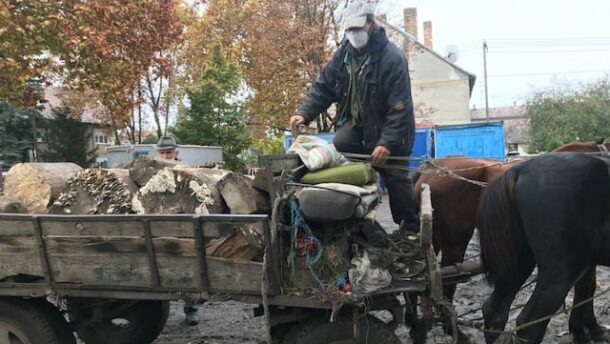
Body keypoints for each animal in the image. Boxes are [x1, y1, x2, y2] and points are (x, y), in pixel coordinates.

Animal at [478, 153, 608, 344]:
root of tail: (520, 169)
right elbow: (585, 290)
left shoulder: (588, 260)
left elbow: (586, 289)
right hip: (559, 274)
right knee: (530, 323)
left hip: (519, 263)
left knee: (494, 311)